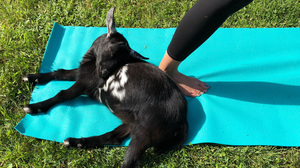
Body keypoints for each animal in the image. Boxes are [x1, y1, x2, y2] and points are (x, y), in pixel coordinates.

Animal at [22, 7, 188, 167]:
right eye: (112, 50)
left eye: (122, 59)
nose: (104, 75)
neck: (92, 61)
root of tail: (183, 121)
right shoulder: (84, 73)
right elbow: (60, 72)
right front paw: (33, 77)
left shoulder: (85, 82)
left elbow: (62, 94)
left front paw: (35, 107)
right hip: (132, 123)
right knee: (113, 138)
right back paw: (78, 142)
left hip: (146, 129)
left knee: (131, 159)